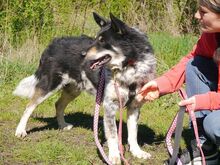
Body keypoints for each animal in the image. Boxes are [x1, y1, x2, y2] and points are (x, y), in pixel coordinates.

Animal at [12, 12, 156, 164]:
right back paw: (20, 130)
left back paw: (62, 125)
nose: (82, 54)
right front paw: (114, 156)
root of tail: (53, 43)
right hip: (49, 85)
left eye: (102, 41)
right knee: (29, 106)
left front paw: (137, 152)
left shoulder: (135, 106)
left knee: (58, 104)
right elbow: (112, 135)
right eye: (95, 39)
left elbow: (133, 133)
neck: (129, 67)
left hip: (73, 89)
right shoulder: (109, 106)